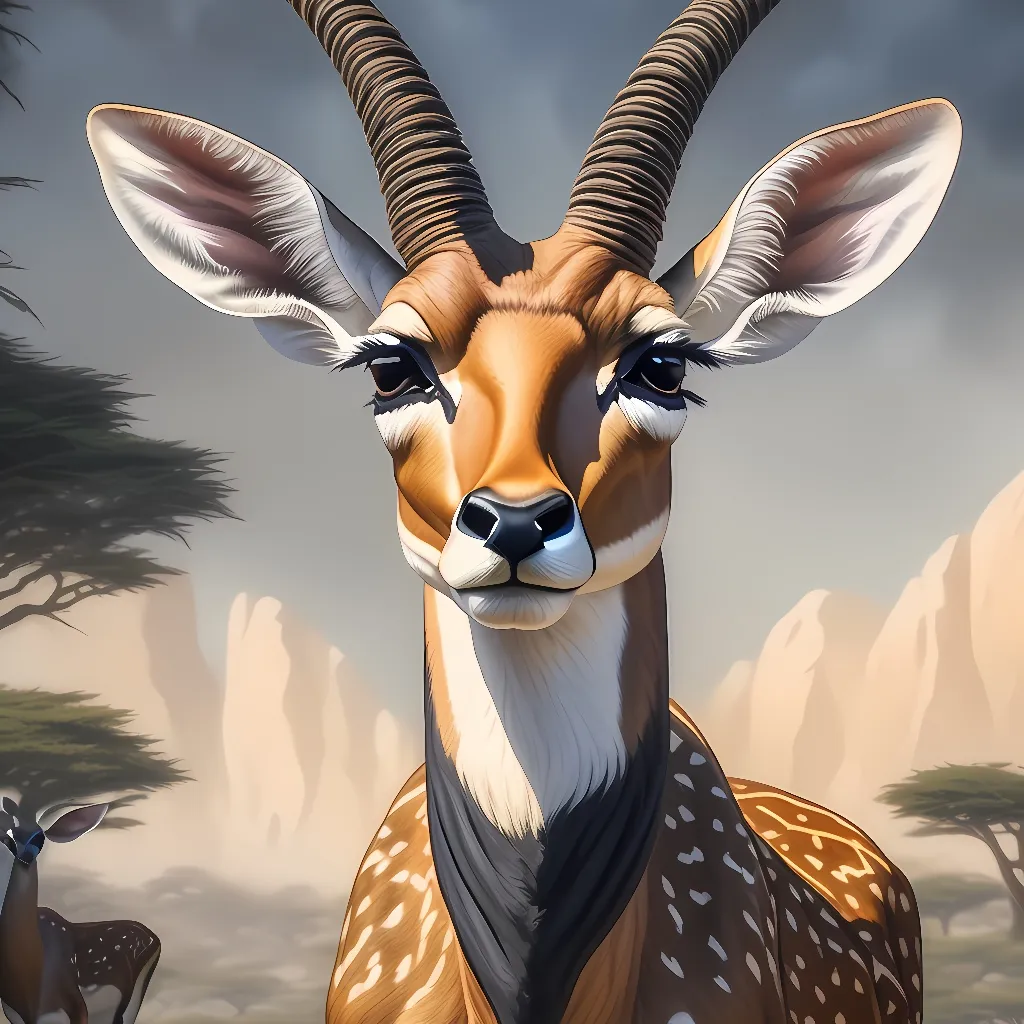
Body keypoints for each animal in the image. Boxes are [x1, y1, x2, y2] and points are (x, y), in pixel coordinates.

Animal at [0, 801, 161, 1024]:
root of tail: (155, 938)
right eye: (9, 837)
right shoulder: (14, 1016)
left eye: (40, 836)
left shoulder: (77, 1008)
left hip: (131, 998)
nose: (26, 856)